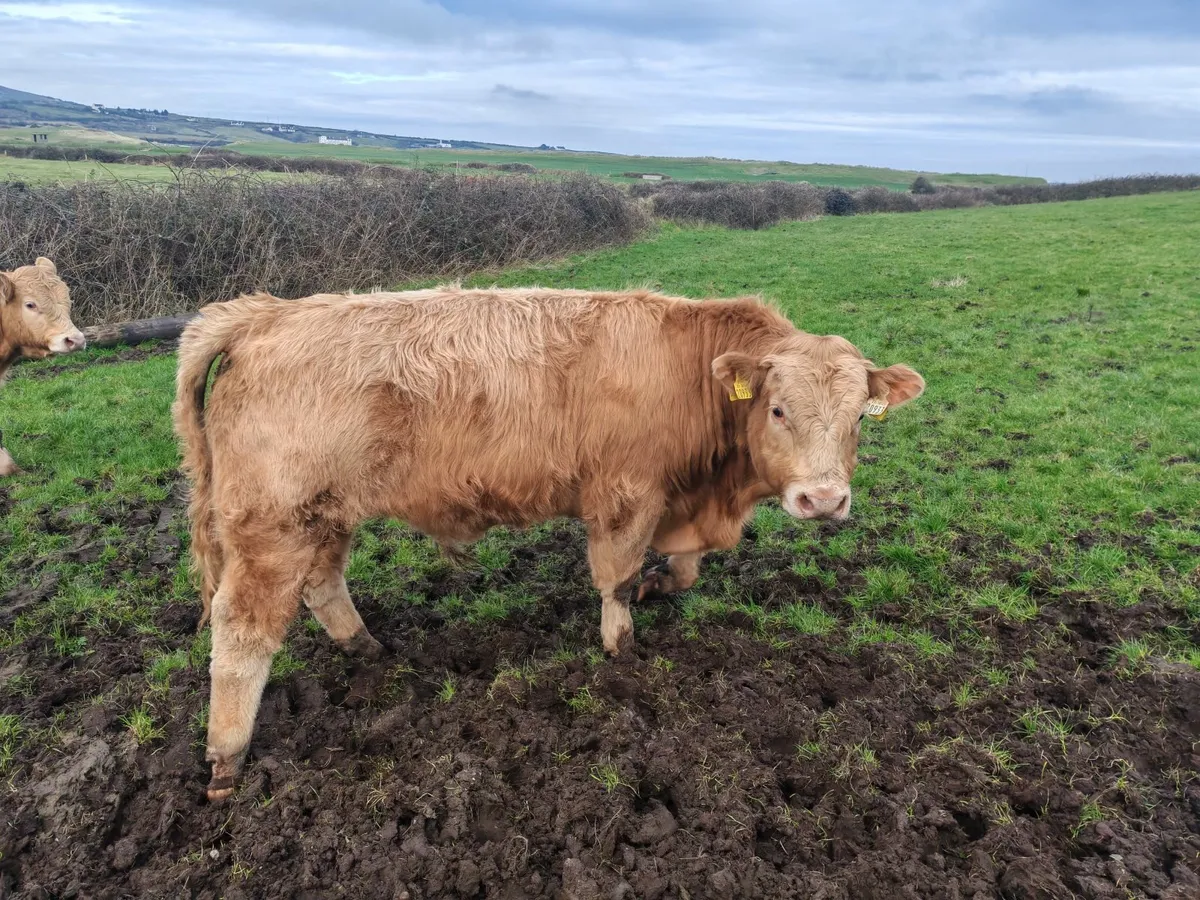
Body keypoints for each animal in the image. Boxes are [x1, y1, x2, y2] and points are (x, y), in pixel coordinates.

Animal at [173, 286, 925, 801]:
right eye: (777, 409)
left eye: (860, 418)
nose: (823, 501)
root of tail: (264, 314)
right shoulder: (626, 493)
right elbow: (615, 575)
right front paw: (622, 645)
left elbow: (683, 570)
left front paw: (659, 584)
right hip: (273, 524)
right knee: (243, 630)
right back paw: (226, 758)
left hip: (325, 514)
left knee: (324, 584)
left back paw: (368, 648)